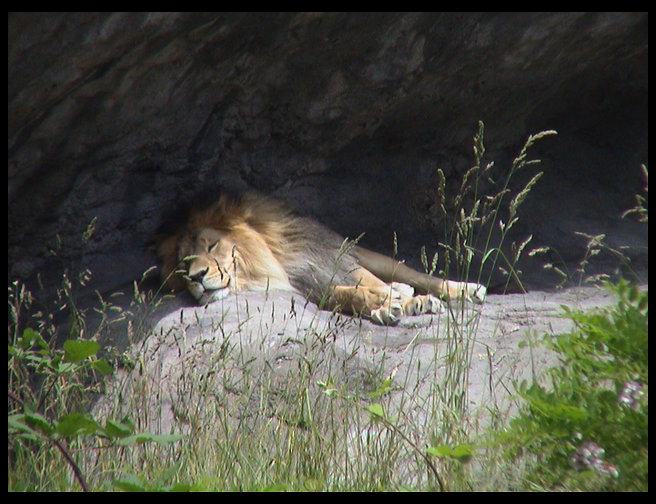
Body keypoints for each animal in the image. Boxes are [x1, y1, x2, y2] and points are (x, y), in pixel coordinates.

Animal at [156, 192, 486, 325]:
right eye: (184, 265)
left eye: (212, 246)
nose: (196, 277)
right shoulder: (310, 286)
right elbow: (348, 294)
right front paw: (382, 305)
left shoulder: (327, 259)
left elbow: (372, 284)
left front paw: (404, 302)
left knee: (411, 274)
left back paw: (464, 289)